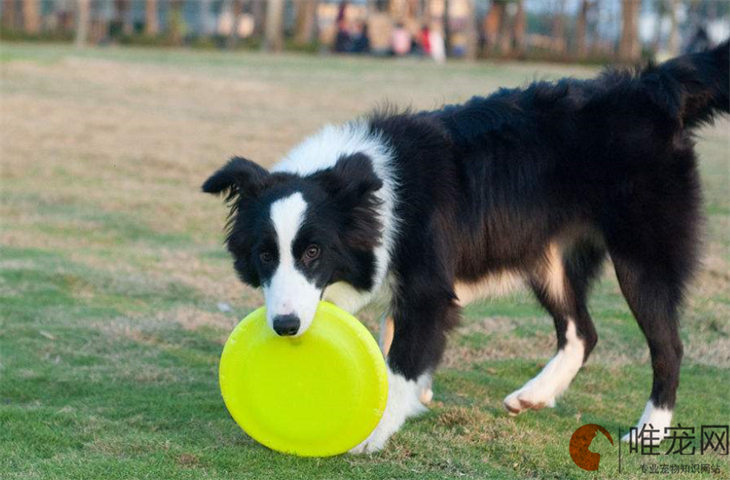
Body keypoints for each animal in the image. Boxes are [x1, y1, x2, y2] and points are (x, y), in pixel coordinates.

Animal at [203, 43, 728, 452]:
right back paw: (535, 394)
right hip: (546, 256)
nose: (285, 327)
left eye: (313, 253)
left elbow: (402, 360)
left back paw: (650, 430)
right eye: (265, 255)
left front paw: (375, 430)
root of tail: (652, 89)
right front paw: (415, 398)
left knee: (668, 345)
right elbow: (393, 337)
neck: (369, 193)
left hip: (642, 253)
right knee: (582, 331)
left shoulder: (428, 286)